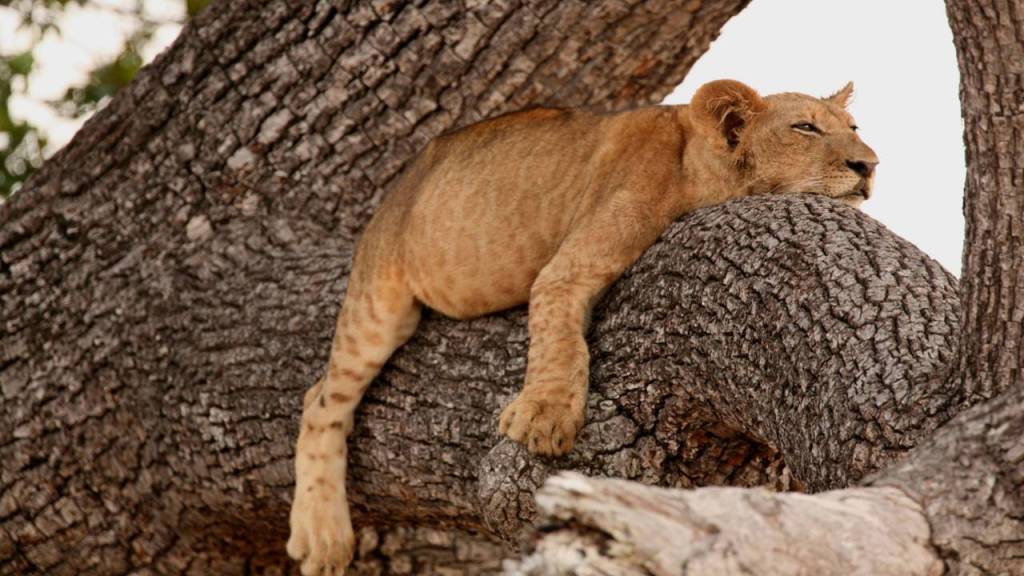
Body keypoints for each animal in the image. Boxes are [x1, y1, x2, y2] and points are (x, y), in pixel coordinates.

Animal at [286, 79, 878, 575]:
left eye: (853, 128)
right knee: (321, 400)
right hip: (379, 300)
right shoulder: (567, 268)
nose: (869, 164)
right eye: (804, 128)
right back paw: (322, 535)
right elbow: (561, 338)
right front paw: (544, 417)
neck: (698, 168)